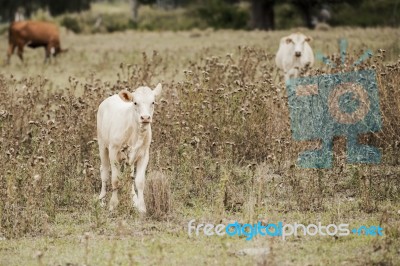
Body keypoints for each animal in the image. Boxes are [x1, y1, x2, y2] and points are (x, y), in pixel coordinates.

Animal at [97, 84, 162, 213]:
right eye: (135, 103)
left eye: (153, 102)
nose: (145, 117)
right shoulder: (113, 152)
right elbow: (115, 180)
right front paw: (113, 205)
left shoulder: (144, 154)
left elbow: (139, 181)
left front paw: (141, 207)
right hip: (102, 145)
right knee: (104, 172)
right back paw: (102, 200)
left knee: (131, 175)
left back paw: (133, 200)